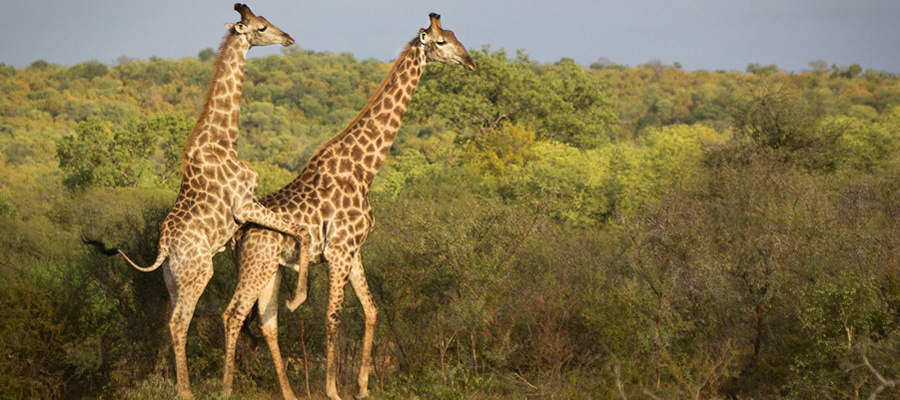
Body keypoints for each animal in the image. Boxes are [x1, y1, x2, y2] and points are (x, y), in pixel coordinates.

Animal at [83, 4, 309, 398]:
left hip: (175, 280)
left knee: (173, 320)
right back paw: (186, 390)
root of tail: (163, 249)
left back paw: (174, 382)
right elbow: (298, 229)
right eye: (261, 27)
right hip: (200, 271)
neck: (224, 140)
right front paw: (297, 297)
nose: (288, 38)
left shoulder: (246, 211)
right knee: (179, 322)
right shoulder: (245, 204)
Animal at [222, 13, 475, 400]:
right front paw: (333, 390)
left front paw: (363, 387)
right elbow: (334, 317)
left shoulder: (354, 250)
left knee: (265, 321)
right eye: (441, 42)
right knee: (233, 314)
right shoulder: (339, 252)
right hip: (256, 265)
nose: (470, 62)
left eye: (454, 35)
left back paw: (286, 392)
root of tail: (238, 233)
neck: (364, 169)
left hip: (270, 270)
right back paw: (224, 388)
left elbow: (371, 310)